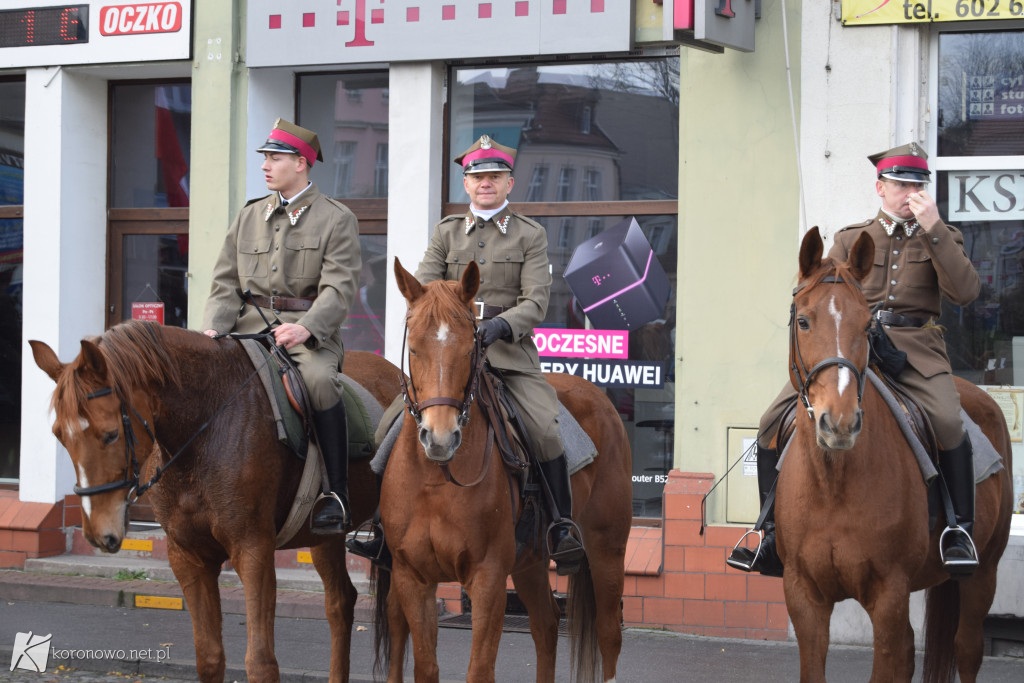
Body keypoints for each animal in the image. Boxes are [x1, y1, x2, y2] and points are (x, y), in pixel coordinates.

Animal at [30, 321, 403, 683]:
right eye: (58, 435)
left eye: (109, 434)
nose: (98, 533)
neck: (204, 429)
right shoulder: (188, 557)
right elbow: (209, 658)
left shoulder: (252, 550)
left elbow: (260, 663)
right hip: (323, 538)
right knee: (341, 602)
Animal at [374, 259, 630, 679]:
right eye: (413, 349)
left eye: (470, 349)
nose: (440, 438)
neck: (435, 481)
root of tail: (599, 395)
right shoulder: (412, 578)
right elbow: (426, 667)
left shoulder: (488, 578)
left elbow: (480, 670)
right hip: (531, 561)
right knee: (545, 624)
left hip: (607, 547)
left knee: (609, 634)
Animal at [778, 229, 1011, 683]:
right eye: (804, 321)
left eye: (867, 325)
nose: (840, 422)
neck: (833, 484)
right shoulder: (803, 597)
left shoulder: (889, 594)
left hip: (984, 573)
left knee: (967, 648)